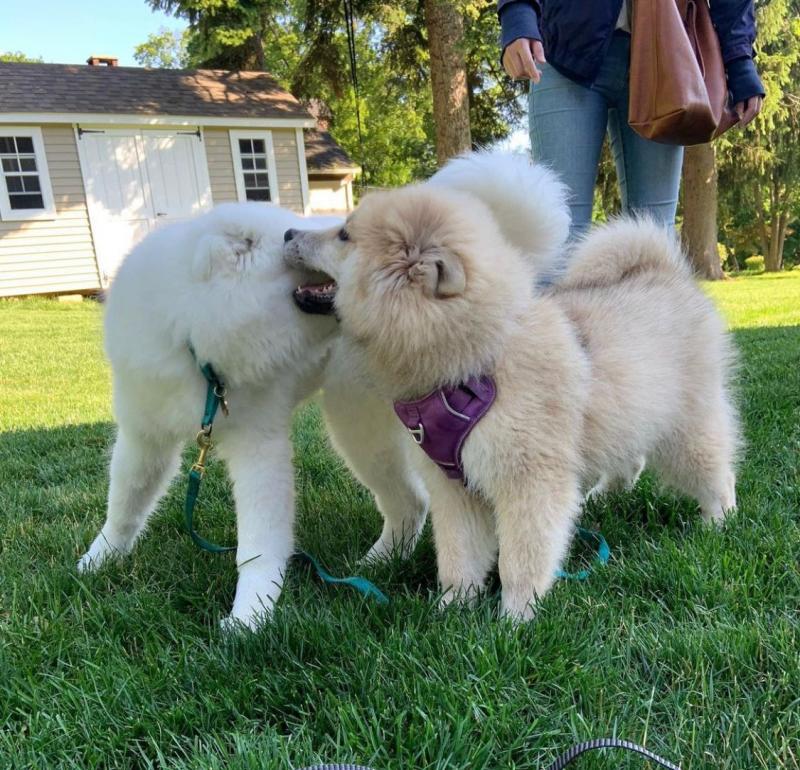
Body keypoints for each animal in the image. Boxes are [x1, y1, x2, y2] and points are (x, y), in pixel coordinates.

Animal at [282, 158, 736, 616]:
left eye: (344, 235)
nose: (287, 233)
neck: (475, 363)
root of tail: (662, 270)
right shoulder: (455, 488)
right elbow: (459, 554)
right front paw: (453, 606)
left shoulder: (528, 481)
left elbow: (520, 557)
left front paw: (516, 616)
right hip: (629, 417)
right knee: (631, 461)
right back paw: (600, 498)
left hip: (687, 430)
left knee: (717, 474)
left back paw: (718, 524)